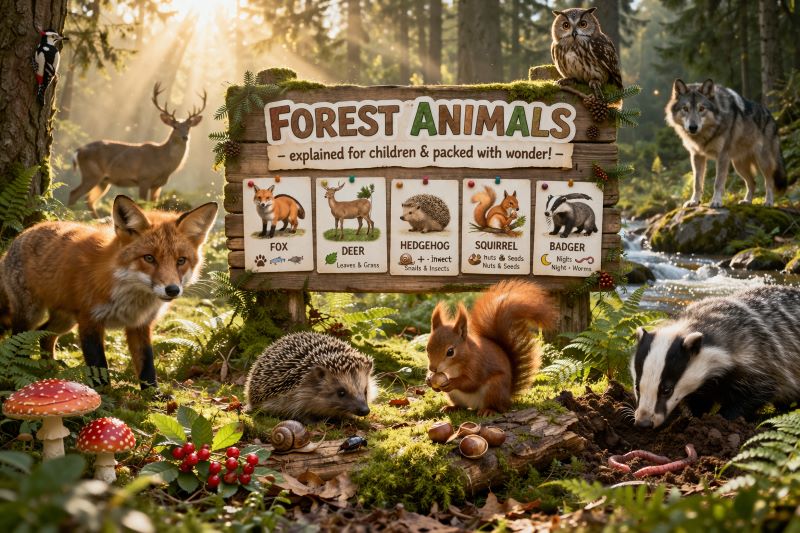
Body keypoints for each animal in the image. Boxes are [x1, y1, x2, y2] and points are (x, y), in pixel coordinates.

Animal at [0, 195, 218, 390]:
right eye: (149, 258)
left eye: (181, 261)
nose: (172, 289)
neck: (129, 294)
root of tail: (18, 238)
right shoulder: (89, 321)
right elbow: (98, 366)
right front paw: (104, 399)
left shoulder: (140, 325)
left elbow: (147, 365)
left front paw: (154, 396)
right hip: (31, 314)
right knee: (18, 339)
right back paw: (20, 372)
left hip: (65, 320)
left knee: (43, 335)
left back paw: (50, 369)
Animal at [69, 82, 207, 217]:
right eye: (175, 126)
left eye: (188, 127)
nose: (185, 137)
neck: (163, 163)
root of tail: (78, 151)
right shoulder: (144, 179)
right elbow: (143, 205)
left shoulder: (158, 185)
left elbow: (154, 206)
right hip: (91, 174)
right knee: (74, 193)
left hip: (103, 181)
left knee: (89, 200)